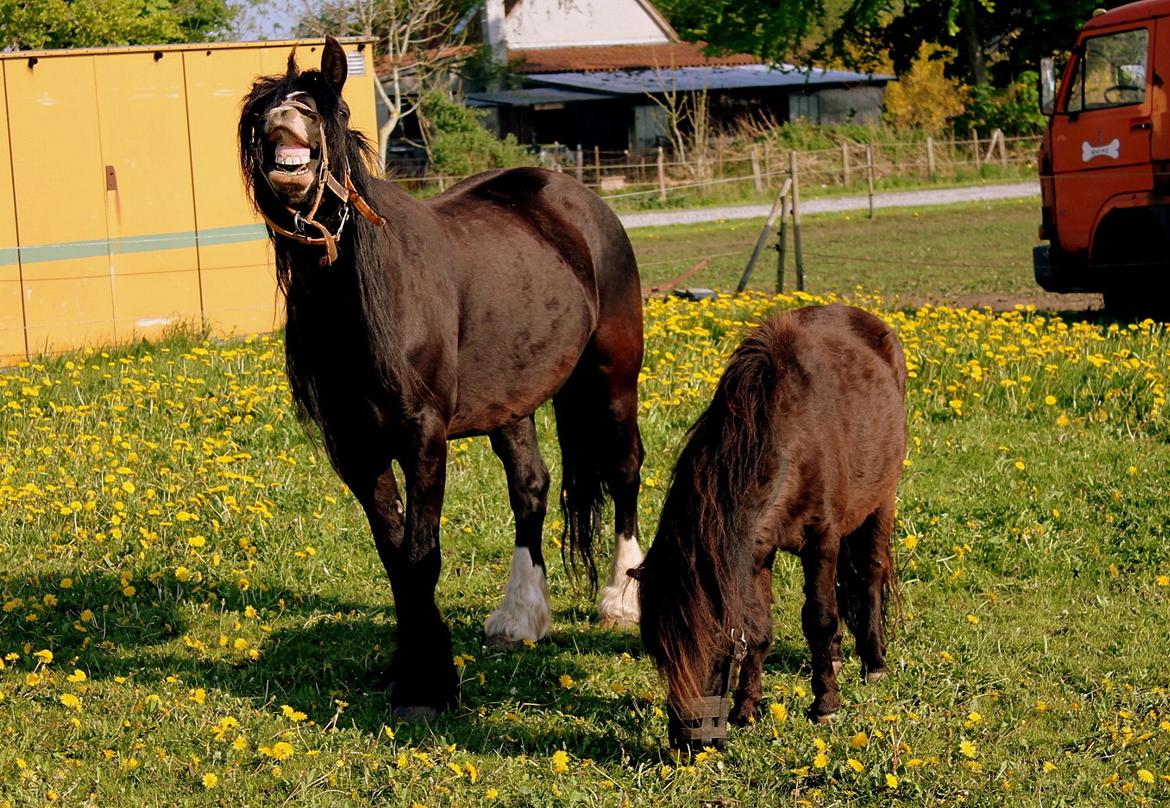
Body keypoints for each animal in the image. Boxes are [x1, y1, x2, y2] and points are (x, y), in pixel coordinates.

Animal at [235, 39, 641, 720]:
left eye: (328, 106)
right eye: (261, 109)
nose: (286, 121)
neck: (362, 302)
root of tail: (574, 197)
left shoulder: (421, 437)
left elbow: (421, 555)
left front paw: (429, 688)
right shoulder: (356, 448)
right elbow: (395, 556)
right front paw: (409, 669)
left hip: (613, 375)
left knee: (624, 469)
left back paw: (621, 599)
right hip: (513, 402)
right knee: (530, 487)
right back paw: (519, 617)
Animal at [636, 306, 907, 748]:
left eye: (715, 647)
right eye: (660, 655)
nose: (689, 744)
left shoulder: (822, 542)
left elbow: (819, 619)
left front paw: (825, 705)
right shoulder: (756, 552)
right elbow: (759, 628)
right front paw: (747, 708)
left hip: (882, 500)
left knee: (869, 574)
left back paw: (874, 662)